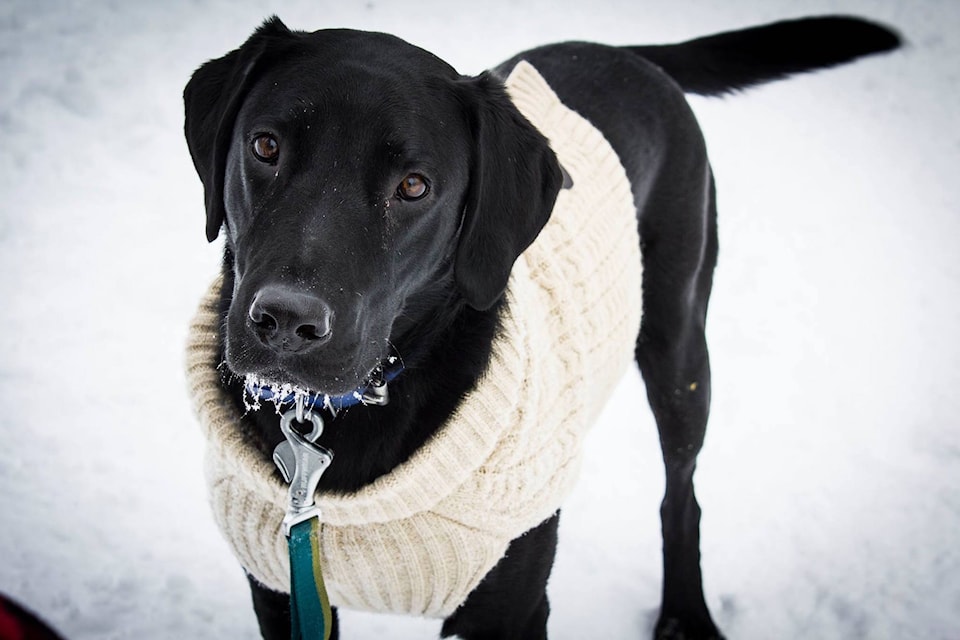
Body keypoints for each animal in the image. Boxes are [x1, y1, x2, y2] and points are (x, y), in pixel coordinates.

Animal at [184, 16, 896, 640]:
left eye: (413, 186)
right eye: (266, 147)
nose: (286, 321)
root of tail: (629, 55)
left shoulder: (512, 605)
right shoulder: (281, 592)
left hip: (680, 346)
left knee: (682, 495)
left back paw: (685, 616)